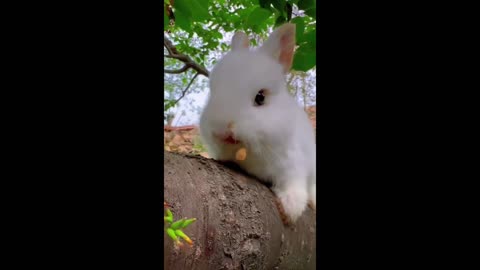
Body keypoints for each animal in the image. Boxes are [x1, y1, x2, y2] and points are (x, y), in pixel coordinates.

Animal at [199, 23, 316, 224]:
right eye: (212, 92)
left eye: (260, 97)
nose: (222, 130)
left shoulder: (294, 163)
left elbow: (294, 184)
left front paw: (290, 209)